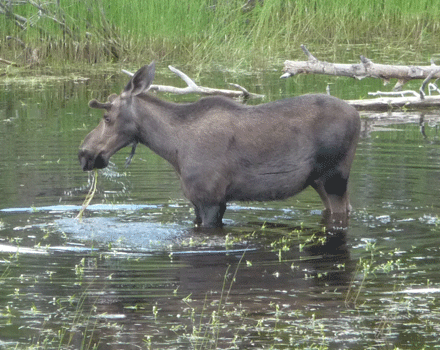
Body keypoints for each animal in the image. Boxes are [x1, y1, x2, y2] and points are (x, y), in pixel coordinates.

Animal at [79, 62, 360, 227]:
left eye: (107, 117)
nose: (84, 153)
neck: (173, 148)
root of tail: (358, 116)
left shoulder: (211, 199)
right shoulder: (197, 202)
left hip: (335, 176)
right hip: (319, 181)